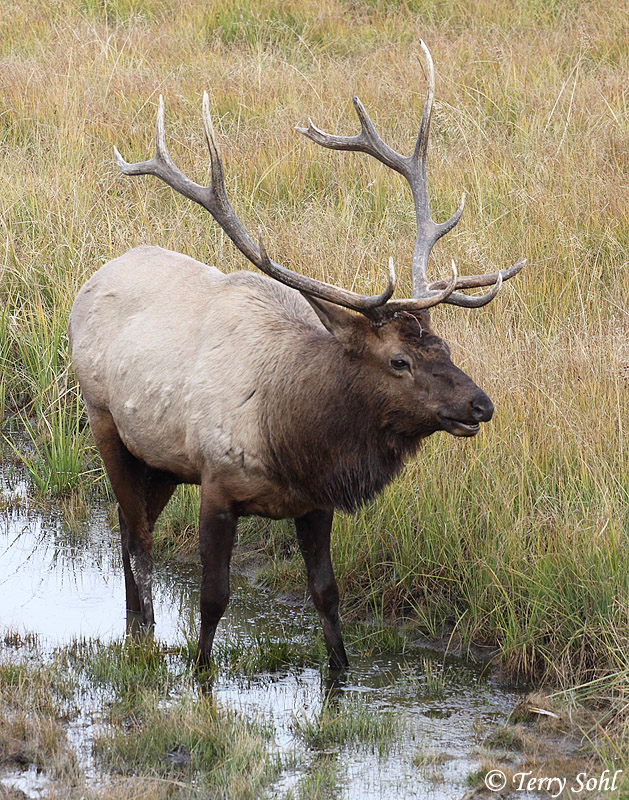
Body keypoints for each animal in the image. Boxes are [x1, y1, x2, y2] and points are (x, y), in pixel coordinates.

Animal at [69, 41, 524, 670]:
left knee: (127, 524)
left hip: (159, 456)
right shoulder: (216, 481)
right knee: (137, 535)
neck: (290, 434)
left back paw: (136, 620)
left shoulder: (315, 502)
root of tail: (92, 281)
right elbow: (214, 597)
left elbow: (326, 593)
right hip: (104, 419)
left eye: (446, 347)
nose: (481, 405)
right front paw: (200, 671)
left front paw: (341, 672)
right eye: (398, 361)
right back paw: (148, 627)